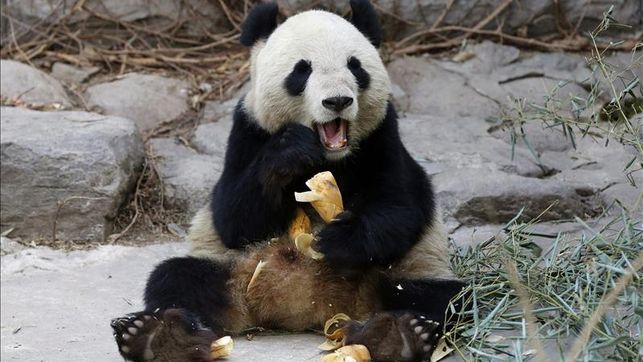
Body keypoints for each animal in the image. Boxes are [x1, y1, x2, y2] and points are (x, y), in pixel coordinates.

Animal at [112, 1, 468, 360]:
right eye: (302, 70)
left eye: (354, 66)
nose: (337, 101)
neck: (329, 157)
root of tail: (306, 307)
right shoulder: (247, 130)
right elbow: (232, 217)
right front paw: (290, 152)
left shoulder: (383, 135)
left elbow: (400, 207)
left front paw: (340, 238)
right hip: (231, 269)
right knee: (176, 279)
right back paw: (158, 337)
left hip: (403, 272)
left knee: (443, 298)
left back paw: (398, 336)